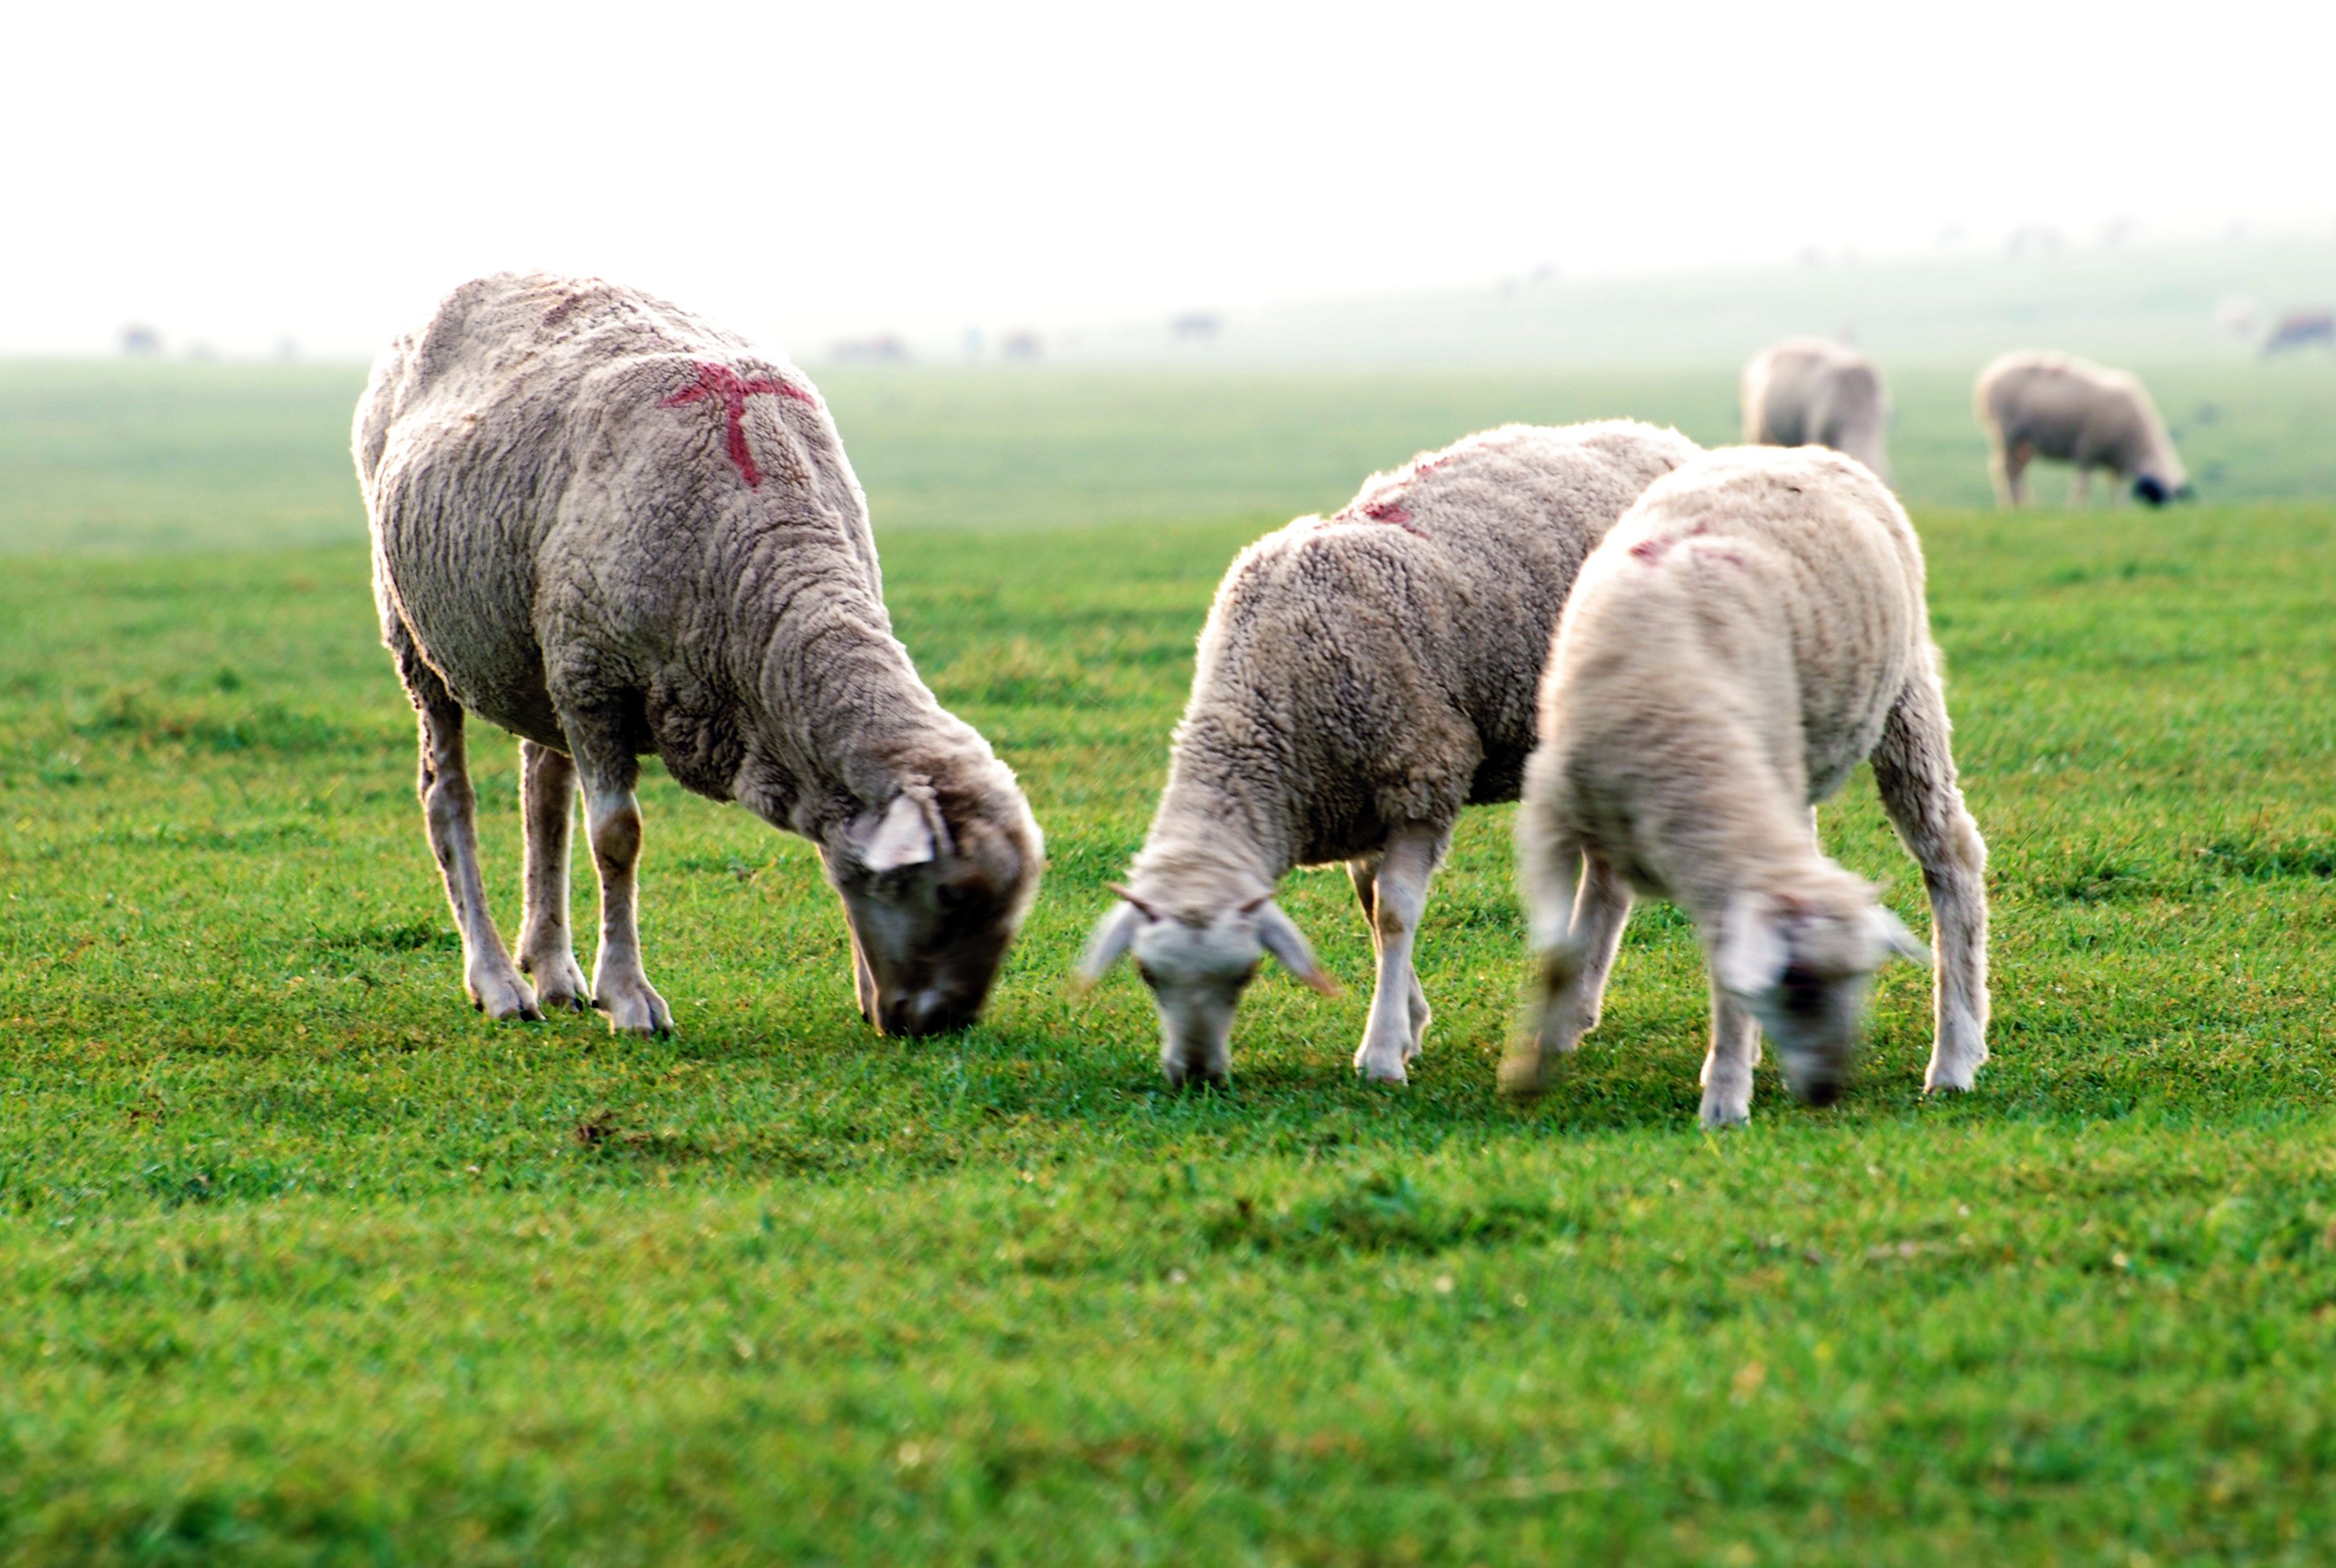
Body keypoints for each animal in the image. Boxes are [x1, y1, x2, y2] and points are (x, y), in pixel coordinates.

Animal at [353, 272, 1042, 1039]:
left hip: (538, 648)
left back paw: (555, 970)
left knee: (544, 792)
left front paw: (864, 991)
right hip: (419, 635)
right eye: (948, 895)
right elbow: (617, 836)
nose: (944, 1023)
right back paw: (499, 981)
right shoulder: (595, 681)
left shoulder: (589, 670)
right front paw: (629, 997)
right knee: (450, 798)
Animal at [1076, 420, 1701, 1086]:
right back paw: (1576, 1009)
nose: (1194, 1076)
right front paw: (1410, 1021)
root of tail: (1657, 434)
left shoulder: (1422, 770)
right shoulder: (1356, 793)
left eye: (1245, 974)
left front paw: (1380, 1054)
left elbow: (1396, 911)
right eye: (1147, 974)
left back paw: (1566, 1017)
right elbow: (1369, 902)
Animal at [1501, 445, 1989, 1126]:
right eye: (1797, 985)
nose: (1828, 1092)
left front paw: (1726, 1099)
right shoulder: (1549, 813)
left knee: (1953, 858)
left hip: (1905, 701)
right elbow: (1557, 954)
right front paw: (1528, 1069)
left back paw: (1955, 1057)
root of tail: (1800, 452)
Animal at [1974, 351, 2191, 508]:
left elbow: (2117, 487)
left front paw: (2119, 510)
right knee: (2006, 470)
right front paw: (2076, 509)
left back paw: (2027, 506)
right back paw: (2014, 506)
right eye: (2157, 497)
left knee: (2016, 470)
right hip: (2007, 434)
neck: (2138, 440)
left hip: (2025, 443)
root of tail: (1988, 376)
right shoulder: (2089, 450)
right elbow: (2083, 485)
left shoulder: (2116, 461)